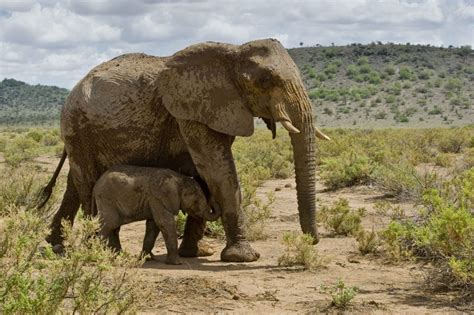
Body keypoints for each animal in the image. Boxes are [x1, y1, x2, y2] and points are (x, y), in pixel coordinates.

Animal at [91, 167, 219, 266]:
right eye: (196, 201)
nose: (214, 199)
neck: (179, 179)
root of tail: (96, 185)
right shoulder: (158, 198)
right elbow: (164, 222)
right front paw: (177, 263)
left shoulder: (154, 200)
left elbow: (153, 225)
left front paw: (146, 258)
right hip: (106, 198)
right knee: (110, 223)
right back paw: (99, 255)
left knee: (114, 226)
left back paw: (118, 255)